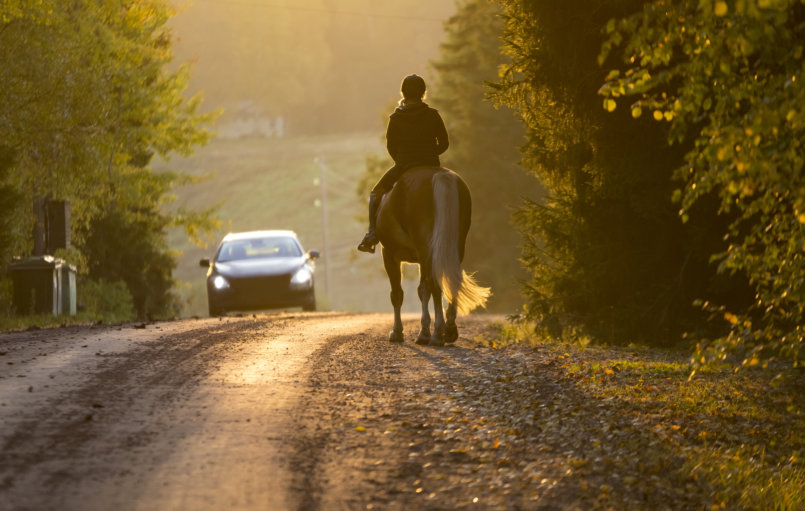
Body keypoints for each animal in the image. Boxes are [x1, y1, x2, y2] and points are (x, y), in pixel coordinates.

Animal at [376, 166, 490, 346]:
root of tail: (440, 174)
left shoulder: (389, 254)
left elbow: (397, 294)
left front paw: (398, 332)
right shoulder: (423, 259)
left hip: (424, 250)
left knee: (432, 286)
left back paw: (433, 334)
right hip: (452, 247)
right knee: (450, 282)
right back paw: (449, 330)